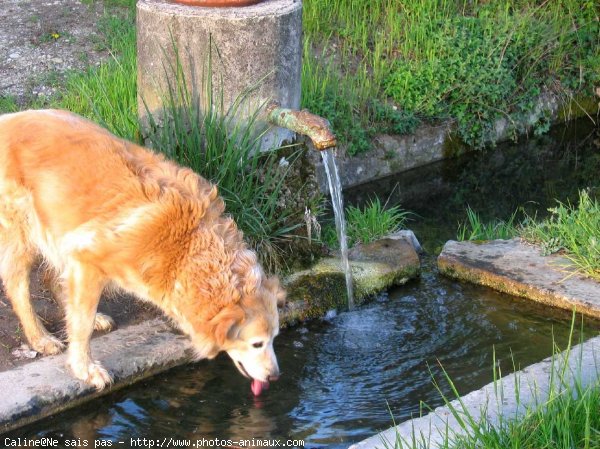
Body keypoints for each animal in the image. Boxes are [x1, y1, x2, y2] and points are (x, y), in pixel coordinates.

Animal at [0, 108, 284, 392]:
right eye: (257, 344)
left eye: (275, 338)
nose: (275, 377)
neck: (187, 246)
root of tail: (9, 117)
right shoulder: (87, 261)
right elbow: (81, 324)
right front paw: (86, 369)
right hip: (23, 232)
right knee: (18, 288)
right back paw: (40, 338)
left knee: (51, 277)